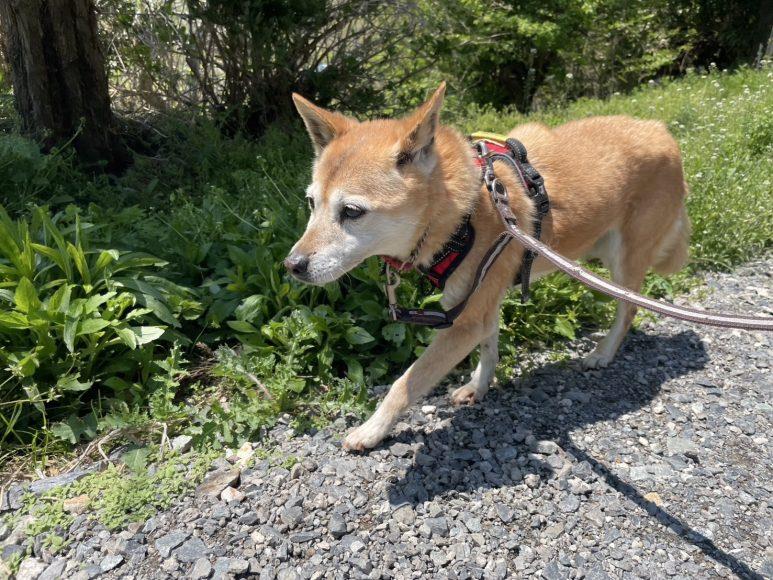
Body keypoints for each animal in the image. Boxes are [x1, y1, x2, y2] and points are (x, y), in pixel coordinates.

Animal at [284, 82, 690, 452]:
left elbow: (406, 384)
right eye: (311, 203)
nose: (292, 265)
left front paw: (371, 430)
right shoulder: (480, 304)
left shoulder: (464, 321)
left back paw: (603, 353)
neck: (464, 210)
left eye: (351, 211)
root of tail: (661, 130)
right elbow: (489, 348)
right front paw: (479, 386)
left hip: (624, 261)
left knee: (629, 310)